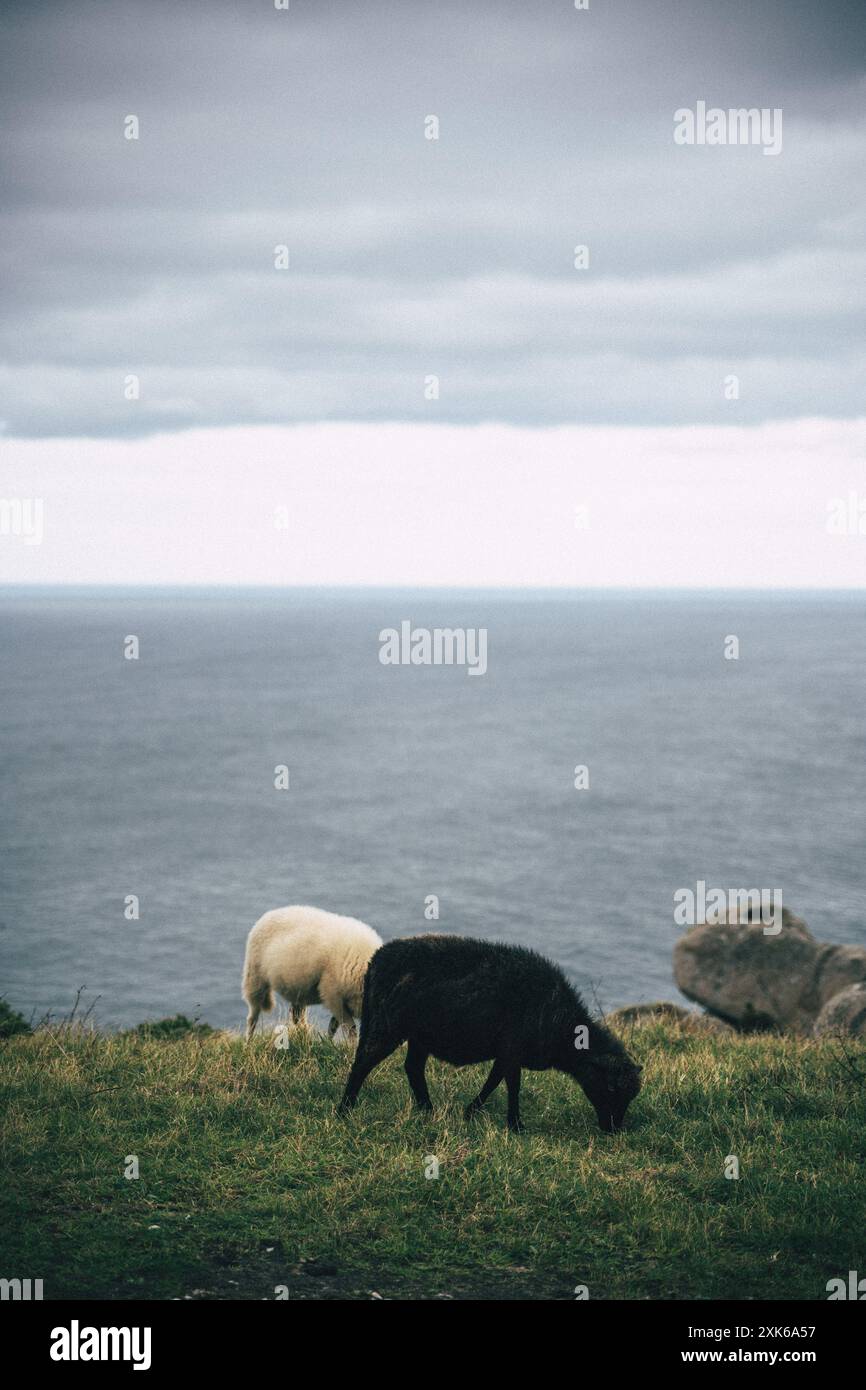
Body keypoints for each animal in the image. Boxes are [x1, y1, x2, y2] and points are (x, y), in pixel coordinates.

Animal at [240, 906, 383, 1039]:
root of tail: (268, 914)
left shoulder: (341, 1000)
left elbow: (333, 1026)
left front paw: (327, 1042)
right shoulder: (333, 995)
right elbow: (350, 1028)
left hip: (296, 990)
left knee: (297, 1017)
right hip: (255, 978)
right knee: (252, 1017)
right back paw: (249, 1042)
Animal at [339, 934, 644, 1128]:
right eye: (611, 1087)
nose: (613, 1129)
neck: (564, 1029)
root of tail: (375, 961)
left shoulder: (507, 1053)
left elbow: (493, 1081)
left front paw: (471, 1112)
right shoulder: (513, 1049)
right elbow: (512, 1086)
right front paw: (516, 1125)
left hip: (419, 1035)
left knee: (413, 1068)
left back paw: (428, 1110)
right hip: (388, 1025)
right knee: (363, 1062)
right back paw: (345, 1109)